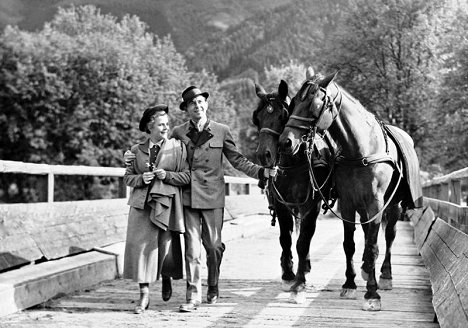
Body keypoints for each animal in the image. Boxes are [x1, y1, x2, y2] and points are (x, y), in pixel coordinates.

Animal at [252, 79, 332, 300]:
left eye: (282, 115)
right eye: (257, 118)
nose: (264, 155)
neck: (294, 164)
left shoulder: (310, 205)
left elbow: (304, 239)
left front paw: (300, 278)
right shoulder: (281, 203)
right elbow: (285, 237)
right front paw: (288, 273)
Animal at [278, 67, 424, 310]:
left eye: (313, 104)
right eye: (294, 102)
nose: (285, 142)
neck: (361, 150)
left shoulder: (376, 204)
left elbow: (373, 245)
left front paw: (372, 294)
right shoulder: (348, 203)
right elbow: (350, 244)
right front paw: (350, 284)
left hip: (392, 206)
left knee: (389, 236)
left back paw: (385, 276)